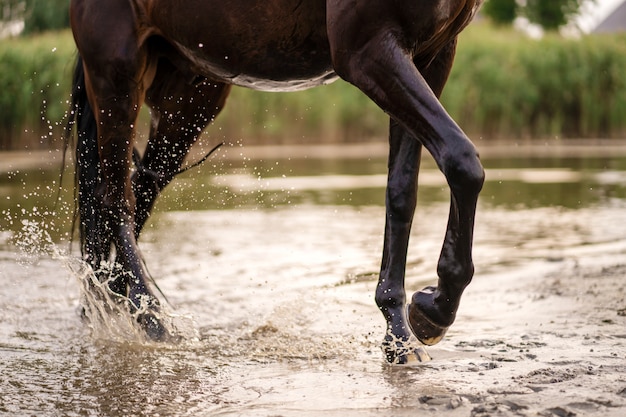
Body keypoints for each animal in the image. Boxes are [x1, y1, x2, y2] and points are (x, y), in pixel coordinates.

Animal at [67, 0, 482, 364]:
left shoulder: (432, 55)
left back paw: (115, 302)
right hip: (117, 74)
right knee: (115, 198)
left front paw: (402, 333)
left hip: (189, 94)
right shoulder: (368, 50)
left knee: (140, 189)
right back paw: (152, 318)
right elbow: (463, 163)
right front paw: (432, 309)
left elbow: (402, 191)